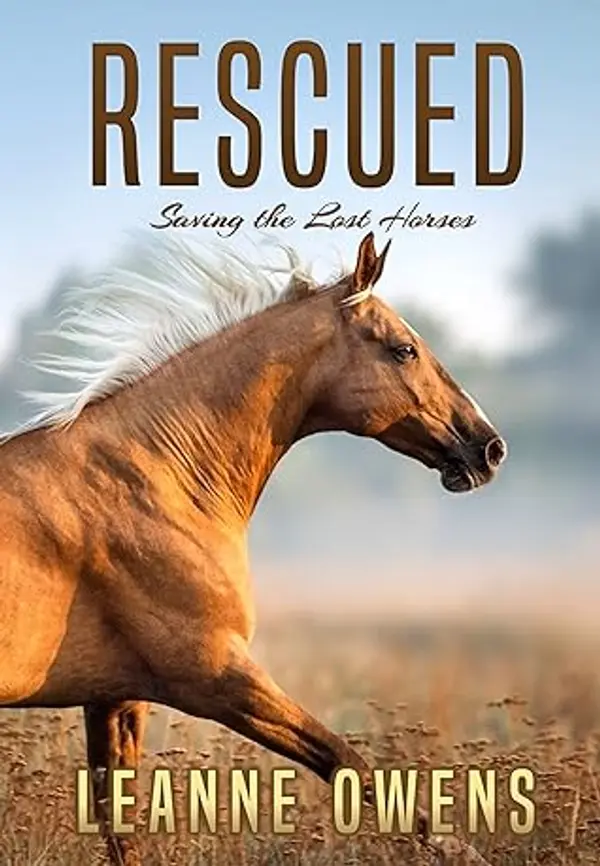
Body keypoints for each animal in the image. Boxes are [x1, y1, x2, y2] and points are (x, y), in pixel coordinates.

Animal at [0, 232, 506, 865]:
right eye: (404, 349)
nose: (488, 447)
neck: (158, 475)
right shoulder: (217, 676)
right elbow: (349, 762)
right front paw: (458, 847)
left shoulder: (116, 698)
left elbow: (121, 828)